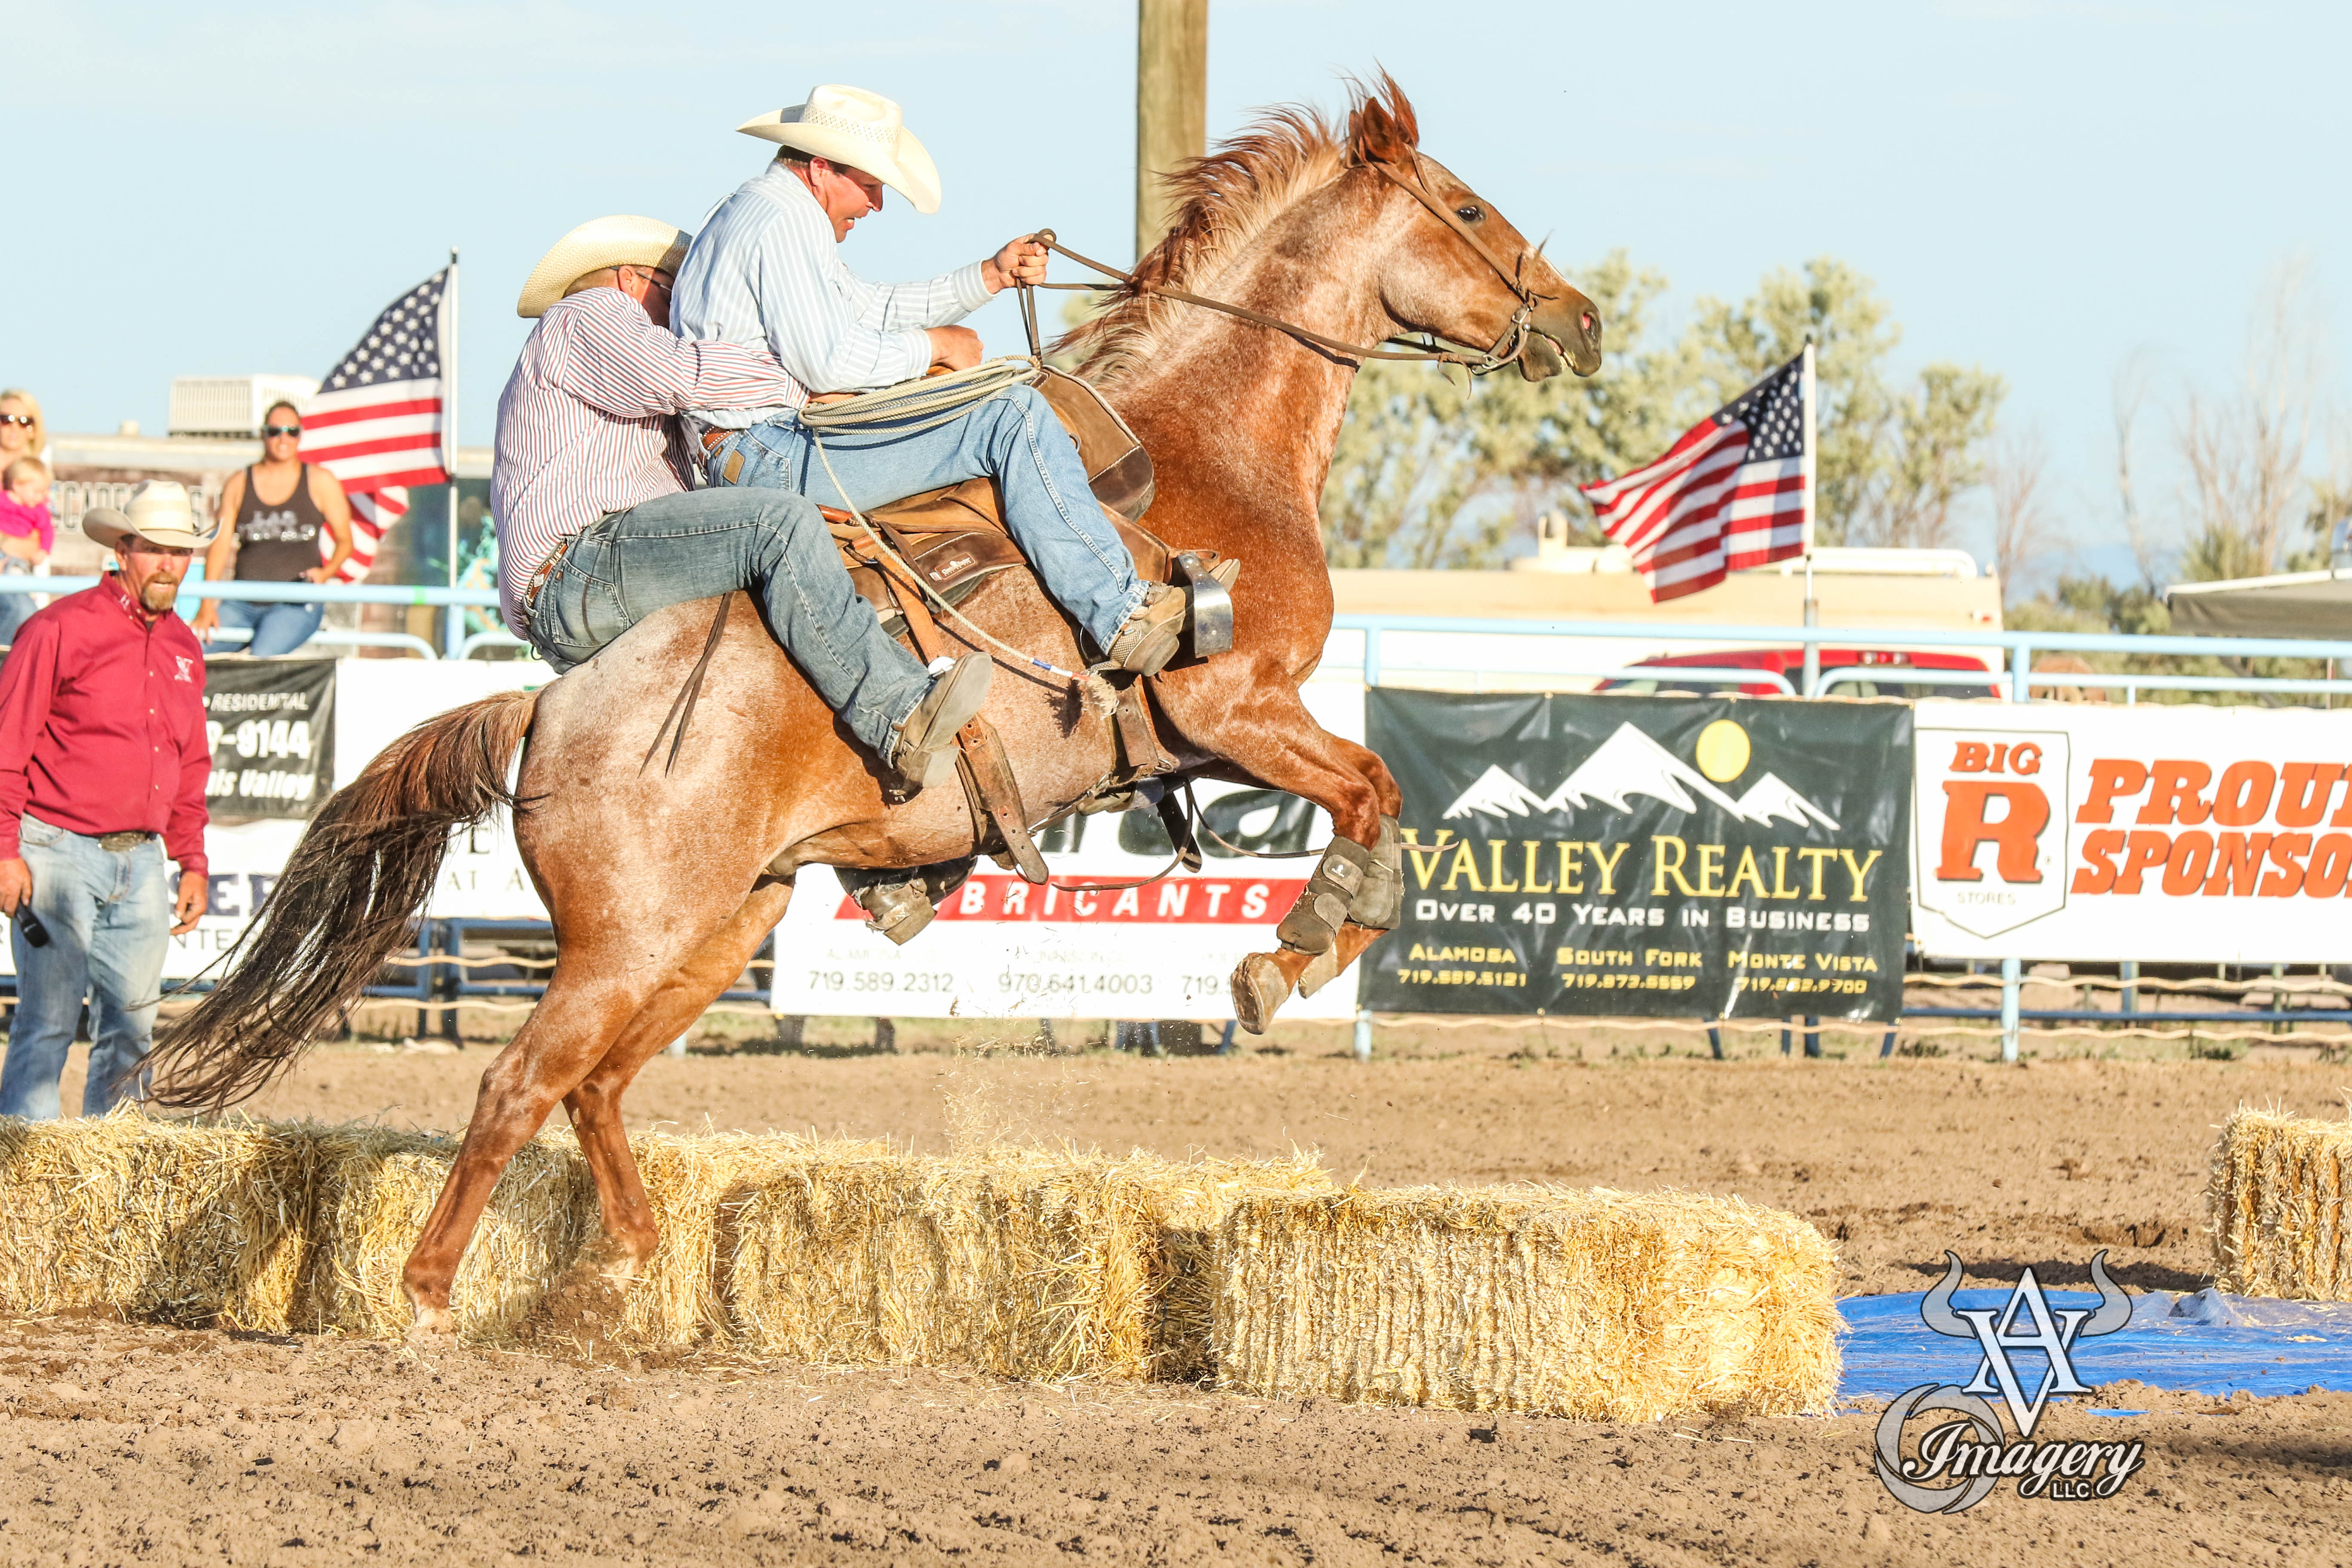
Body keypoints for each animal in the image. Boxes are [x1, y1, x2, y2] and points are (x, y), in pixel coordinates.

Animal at [151, 80, 1599, 1335]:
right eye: (1468, 208)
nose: (1580, 320)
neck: (1208, 448)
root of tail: (546, 710)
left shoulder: (1233, 731)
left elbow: (1377, 792)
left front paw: (1300, 946)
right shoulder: (1234, 705)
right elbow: (1370, 787)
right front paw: (1286, 956)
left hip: (721, 928)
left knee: (597, 1087)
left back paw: (618, 1278)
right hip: (625, 941)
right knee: (521, 1082)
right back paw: (429, 1301)